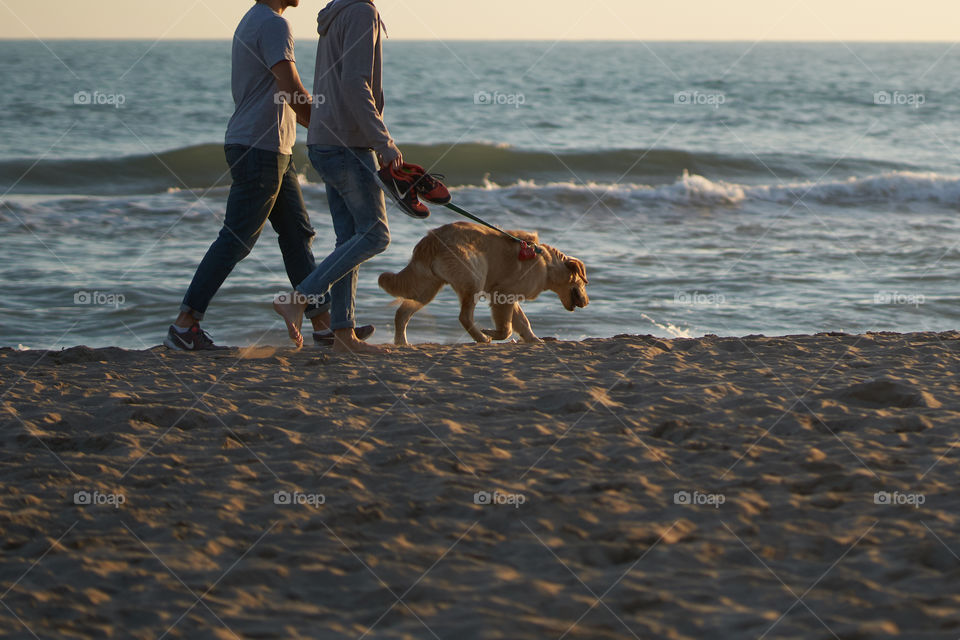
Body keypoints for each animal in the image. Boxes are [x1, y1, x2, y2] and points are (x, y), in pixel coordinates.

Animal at [378, 224, 588, 348]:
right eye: (583, 282)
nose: (587, 302)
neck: (547, 265)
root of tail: (430, 240)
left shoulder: (509, 297)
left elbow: (523, 322)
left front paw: (533, 339)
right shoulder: (502, 295)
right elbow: (507, 329)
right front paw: (491, 333)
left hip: (426, 289)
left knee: (402, 313)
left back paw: (402, 342)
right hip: (475, 276)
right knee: (464, 317)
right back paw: (481, 337)